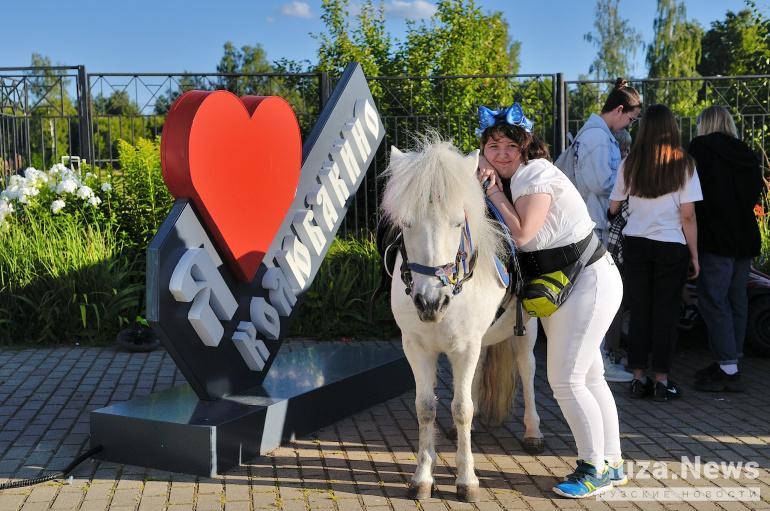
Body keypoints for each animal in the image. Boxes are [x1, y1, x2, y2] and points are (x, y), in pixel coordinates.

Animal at [380, 138, 543, 502]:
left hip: (525, 332)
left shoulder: (465, 346)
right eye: (406, 223)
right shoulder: (416, 347)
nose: (429, 301)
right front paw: (422, 477)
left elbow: (461, 408)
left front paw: (466, 480)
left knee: (527, 370)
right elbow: (426, 407)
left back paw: (533, 431)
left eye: (458, 223)